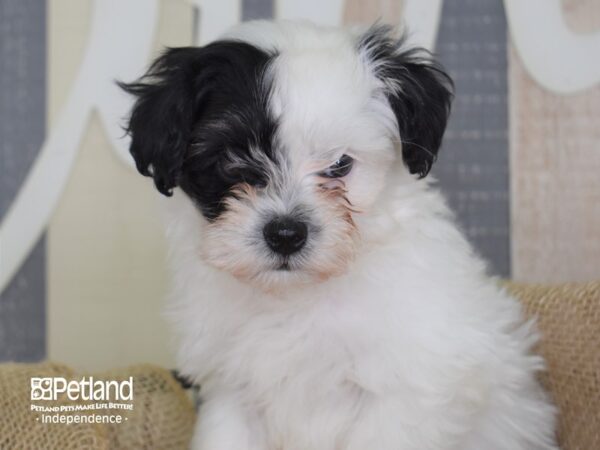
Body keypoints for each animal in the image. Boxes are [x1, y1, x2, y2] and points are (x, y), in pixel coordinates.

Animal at [120, 21, 556, 450]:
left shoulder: (410, 387)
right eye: (231, 158)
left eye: (340, 165)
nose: (285, 233)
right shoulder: (231, 391)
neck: (297, 296)